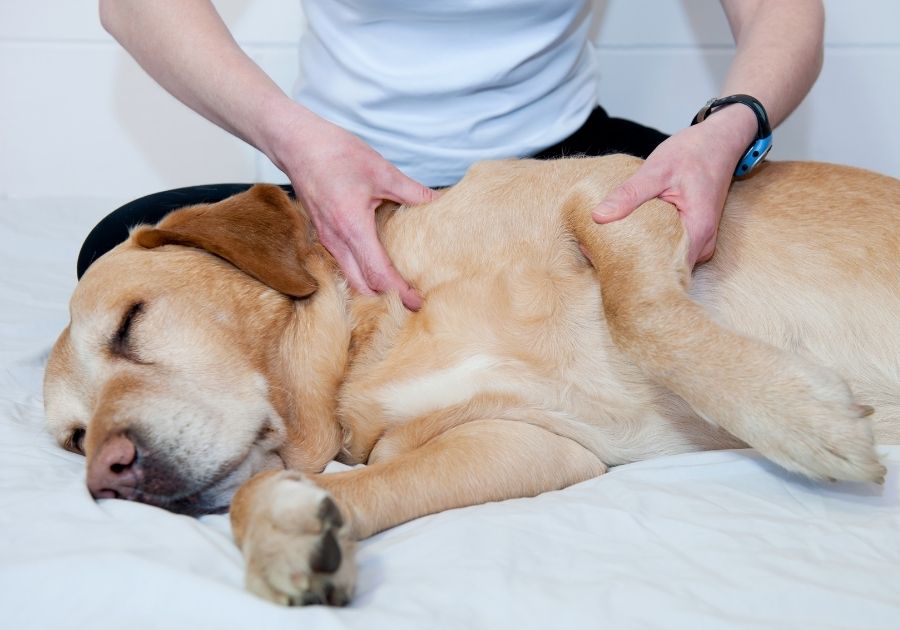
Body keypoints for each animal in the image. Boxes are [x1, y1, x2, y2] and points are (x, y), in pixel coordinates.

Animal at [44, 154, 900, 608]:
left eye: (130, 323)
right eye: (72, 440)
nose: (106, 475)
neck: (371, 344)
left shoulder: (620, 194)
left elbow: (642, 314)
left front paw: (804, 422)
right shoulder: (526, 444)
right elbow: (308, 489)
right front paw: (288, 535)